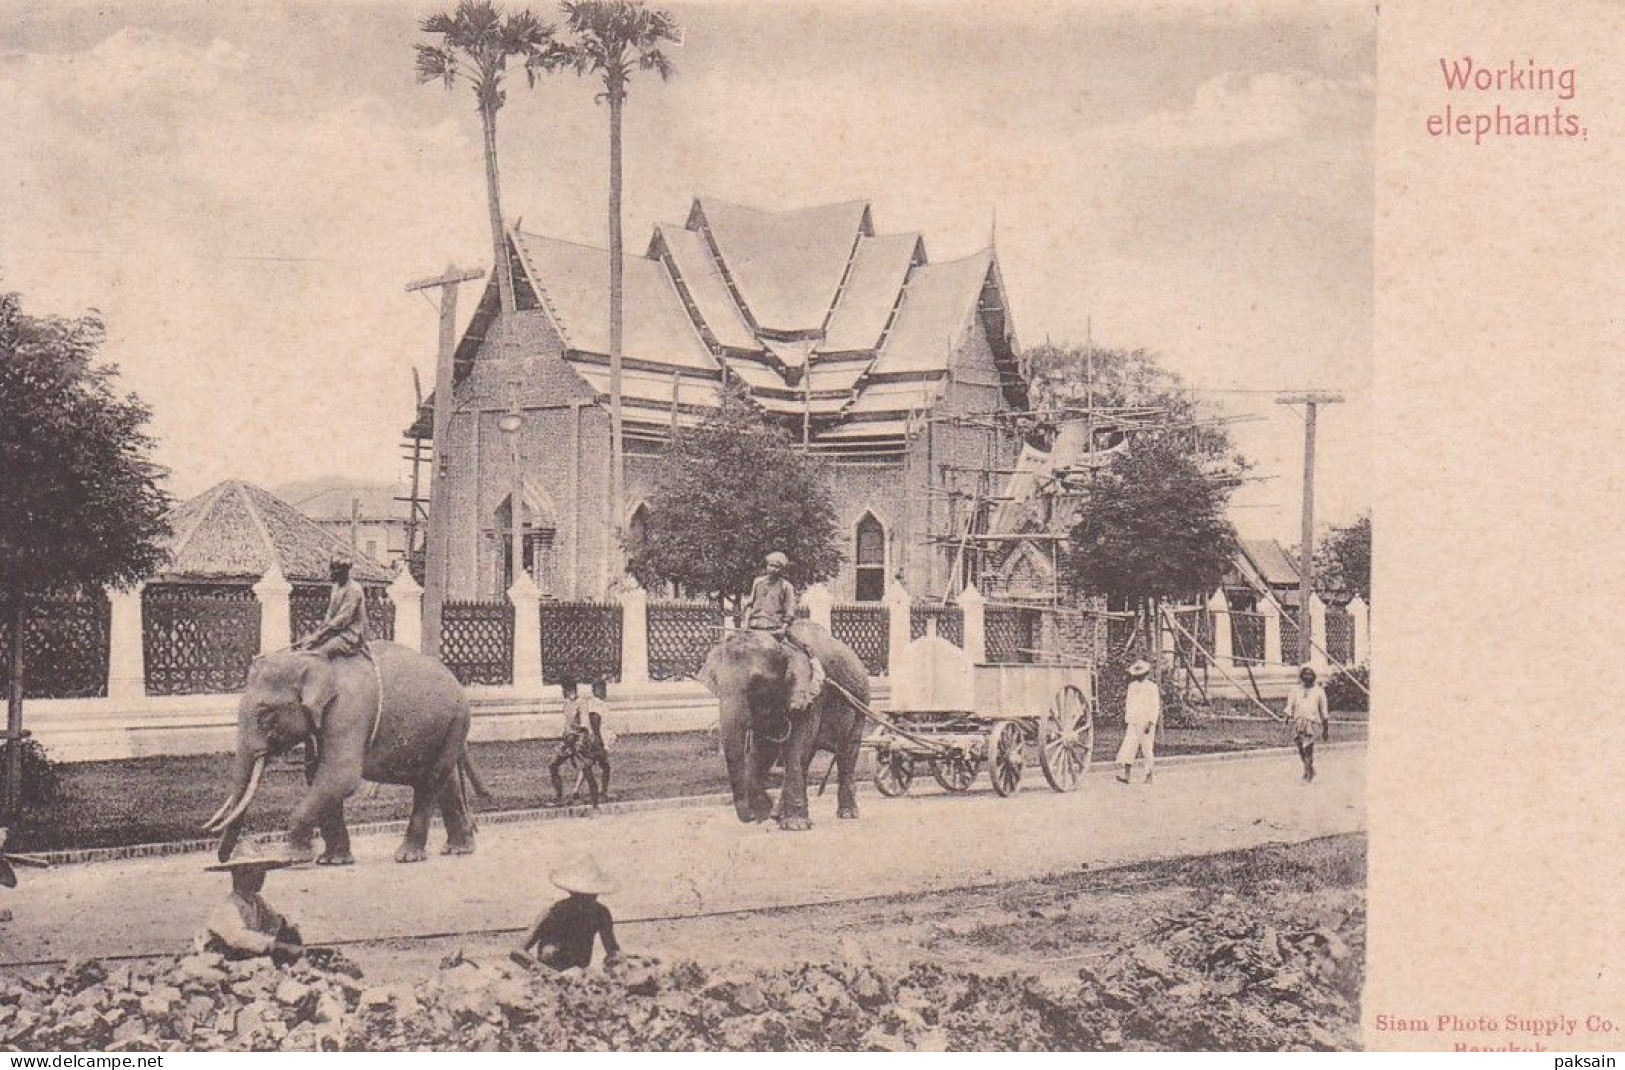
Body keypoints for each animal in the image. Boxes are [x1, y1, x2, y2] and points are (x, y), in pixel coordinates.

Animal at [203, 637, 474, 865]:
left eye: (264, 714)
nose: (223, 860)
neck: (312, 662)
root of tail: (458, 683)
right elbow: (319, 777)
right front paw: (331, 860)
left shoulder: (348, 711)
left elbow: (340, 777)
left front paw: (293, 858)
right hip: (446, 729)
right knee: (445, 781)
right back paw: (458, 849)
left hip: (457, 721)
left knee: (431, 781)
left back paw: (408, 856)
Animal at [702, 621, 871, 829]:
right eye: (715, 682)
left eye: (757, 682)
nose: (752, 817)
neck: (783, 644)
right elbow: (765, 749)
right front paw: (768, 810)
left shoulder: (814, 694)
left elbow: (795, 745)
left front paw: (793, 824)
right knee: (807, 757)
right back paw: (780, 813)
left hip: (861, 703)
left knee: (846, 752)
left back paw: (847, 814)